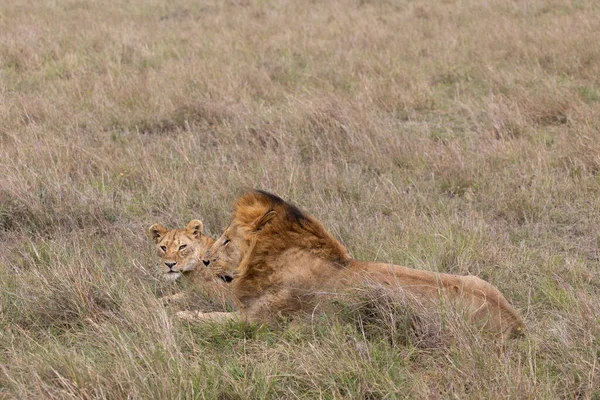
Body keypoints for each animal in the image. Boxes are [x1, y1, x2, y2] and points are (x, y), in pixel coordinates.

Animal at [203, 190, 524, 338]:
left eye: (227, 240)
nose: (204, 261)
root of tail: (516, 322)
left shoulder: (260, 323)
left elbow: (203, 319)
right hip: (476, 278)